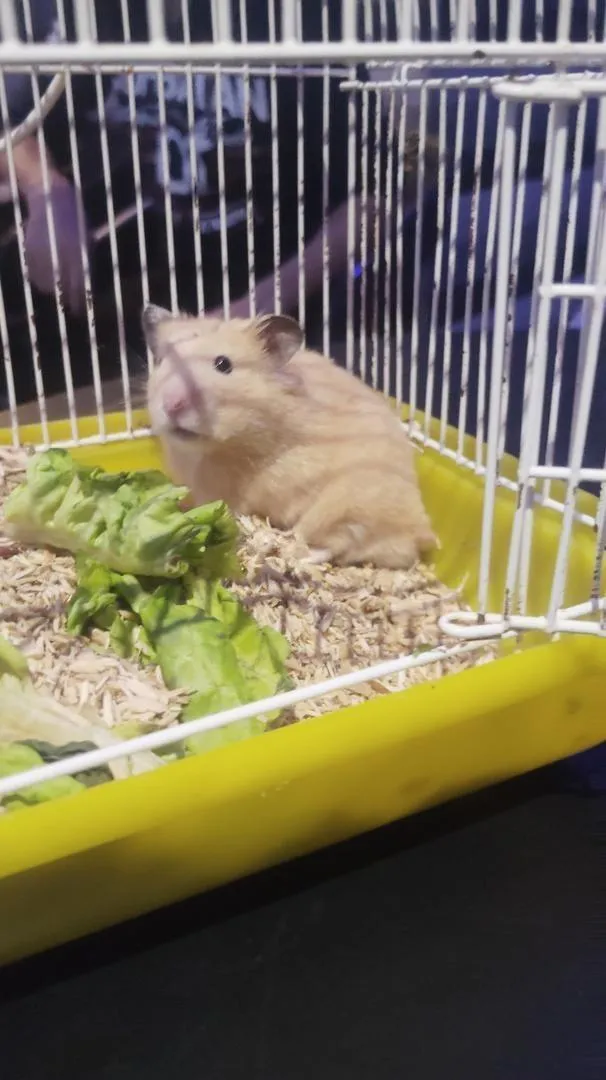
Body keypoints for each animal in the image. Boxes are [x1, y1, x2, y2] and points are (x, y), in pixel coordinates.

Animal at [142, 304, 437, 570]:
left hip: (344, 505)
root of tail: (420, 531)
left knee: (335, 544)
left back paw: (293, 555)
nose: (172, 404)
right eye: (163, 360)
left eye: (223, 365)